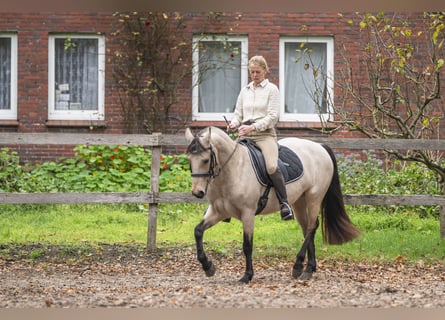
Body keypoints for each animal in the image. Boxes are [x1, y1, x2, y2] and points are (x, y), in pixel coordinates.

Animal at [184, 126, 360, 284]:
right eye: (189, 160)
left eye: (206, 160)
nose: (197, 192)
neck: (234, 169)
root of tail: (319, 147)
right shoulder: (217, 212)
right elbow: (198, 231)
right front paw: (208, 267)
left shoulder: (247, 214)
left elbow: (247, 245)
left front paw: (247, 276)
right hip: (299, 201)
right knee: (306, 229)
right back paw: (309, 268)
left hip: (314, 197)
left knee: (311, 227)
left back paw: (299, 266)